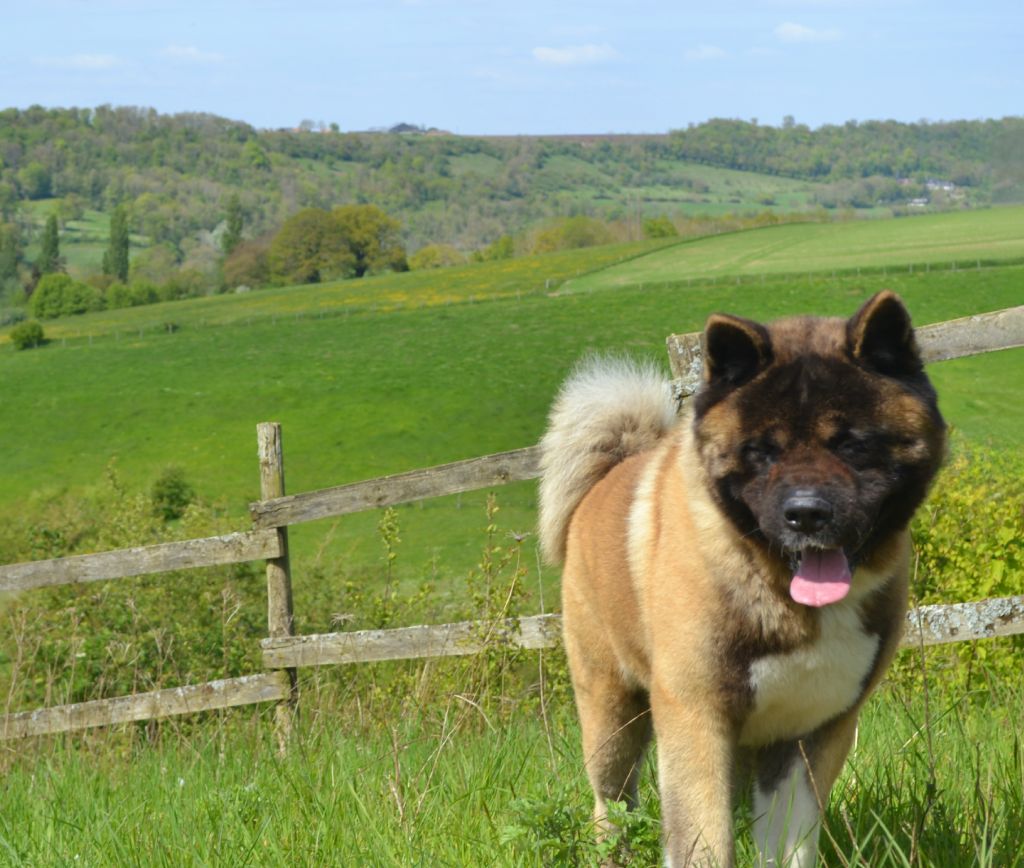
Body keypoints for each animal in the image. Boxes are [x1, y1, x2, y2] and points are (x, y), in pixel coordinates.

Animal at [540, 292, 946, 868]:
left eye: (851, 445)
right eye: (763, 450)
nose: (806, 513)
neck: (773, 584)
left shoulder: (808, 736)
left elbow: (788, 844)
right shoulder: (696, 721)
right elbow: (702, 841)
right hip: (611, 716)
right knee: (611, 806)